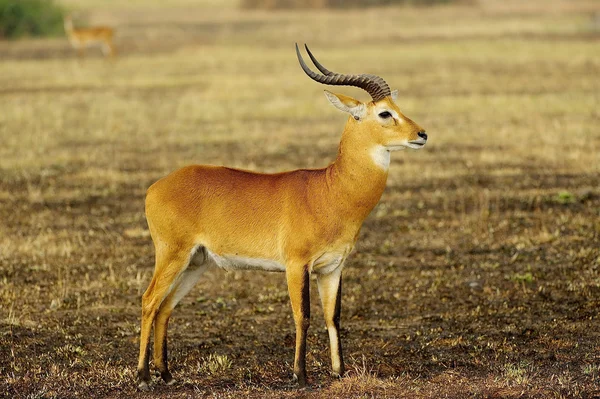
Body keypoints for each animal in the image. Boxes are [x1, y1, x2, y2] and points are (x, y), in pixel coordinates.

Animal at [137, 43, 426, 390]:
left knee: (165, 308)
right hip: (172, 255)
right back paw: (142, 377)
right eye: (385, 113)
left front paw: (338, 372)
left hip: (196, 263)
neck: (329, 190)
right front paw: (300, 374)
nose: (422, 134)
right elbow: (303, 315)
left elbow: (333, 316)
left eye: (397, 106)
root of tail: (155, 187)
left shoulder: (332, 267)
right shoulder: (297, 264)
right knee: (149, 301)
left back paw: (166, 374)